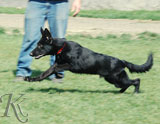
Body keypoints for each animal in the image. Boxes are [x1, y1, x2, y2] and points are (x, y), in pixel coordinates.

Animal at [24, 28, 152, 93]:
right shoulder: (56, 65)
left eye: (40, 46)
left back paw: (135, 92)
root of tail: (121, 61)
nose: (30, 53)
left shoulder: (72, 66)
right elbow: (45, 73)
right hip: (113, 80)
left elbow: (55, 68)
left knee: (136, 80)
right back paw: (120, 92)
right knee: (128, 84)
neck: (62, 47)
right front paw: (31, 79)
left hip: (116, 79)